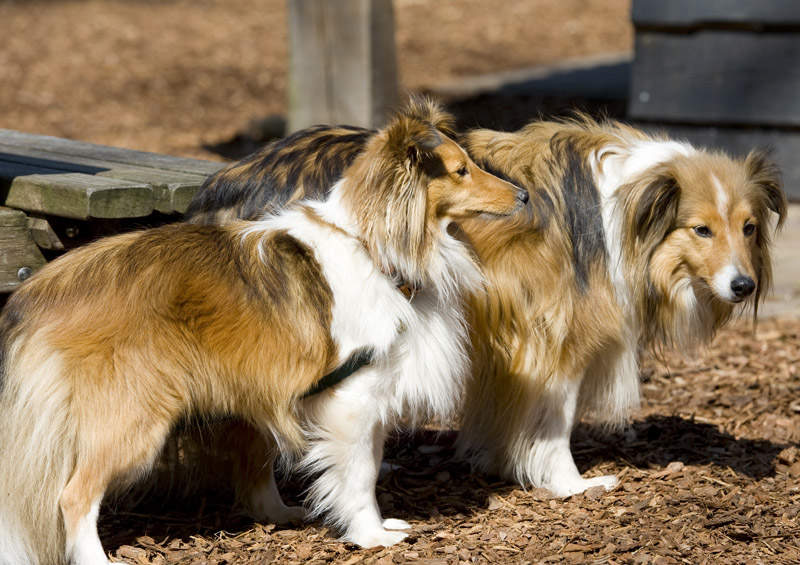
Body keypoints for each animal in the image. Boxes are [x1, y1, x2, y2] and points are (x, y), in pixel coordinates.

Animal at [0, 99, 528, 560]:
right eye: (461, 170)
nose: (523, 194)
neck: (372, 247)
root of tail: (43, 288)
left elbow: (340, 463)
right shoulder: (352, 398)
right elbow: (360, 474)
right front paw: (371, 535)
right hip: (135, 418)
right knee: (73, 496)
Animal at [188, 103, 788, 496]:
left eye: (749, 227)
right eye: (701, 229)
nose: (743, 286)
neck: (622, 214)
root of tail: (228, 180)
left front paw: (496, 461)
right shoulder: (551, 337)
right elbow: (556, 421)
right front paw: (569, 483)